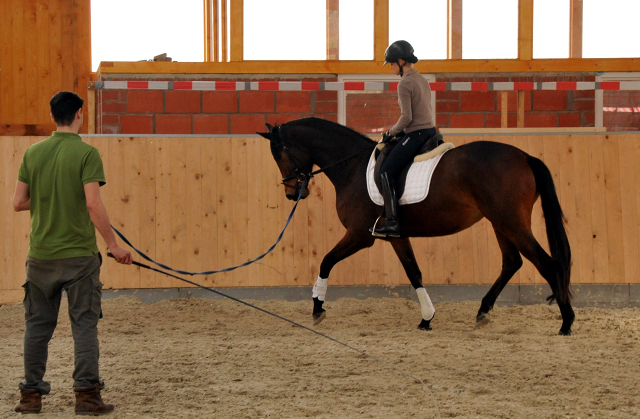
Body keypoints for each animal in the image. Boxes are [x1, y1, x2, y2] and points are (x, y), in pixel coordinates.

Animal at [260, 116, 576, 336]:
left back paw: (567, 322)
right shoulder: (395, 236)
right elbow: (414, 272)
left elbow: (326, 261)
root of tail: (524, 157)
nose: (292, 193)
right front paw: (426, 318)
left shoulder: (360, 235)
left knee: (547, 264)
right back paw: (483, 311)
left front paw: (317, 306)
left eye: (279, 154)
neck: (352, 167)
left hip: (510, 221)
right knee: (512, 262)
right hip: (501, 223)